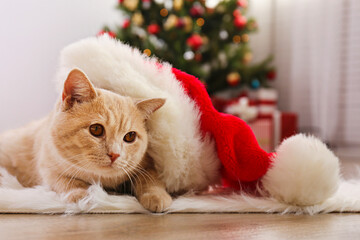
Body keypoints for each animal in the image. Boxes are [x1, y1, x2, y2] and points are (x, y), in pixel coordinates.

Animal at [0, 68, 172, 213]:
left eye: (130, 137)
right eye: (96, 129)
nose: (115, 154)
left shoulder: (147, 164)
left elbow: (151, 179)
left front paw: (157, 196)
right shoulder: (47, 167)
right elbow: (64, 180)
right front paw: (82, 195)